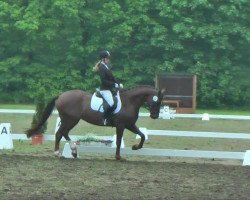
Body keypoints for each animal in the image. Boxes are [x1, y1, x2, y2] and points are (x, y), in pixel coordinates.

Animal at [25, 85, 166, 160]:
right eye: (157, 101)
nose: (155, 116)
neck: (130, 102)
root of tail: (60, 95)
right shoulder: (121, 125)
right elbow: (118, 141)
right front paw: (118, 157)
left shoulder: (130, 125)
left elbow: (142, 135)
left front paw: (135, 147)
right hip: (70, 120)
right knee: (59, 134)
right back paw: (58, 154)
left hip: (69, 120)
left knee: (64, 133)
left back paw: (74, 151)